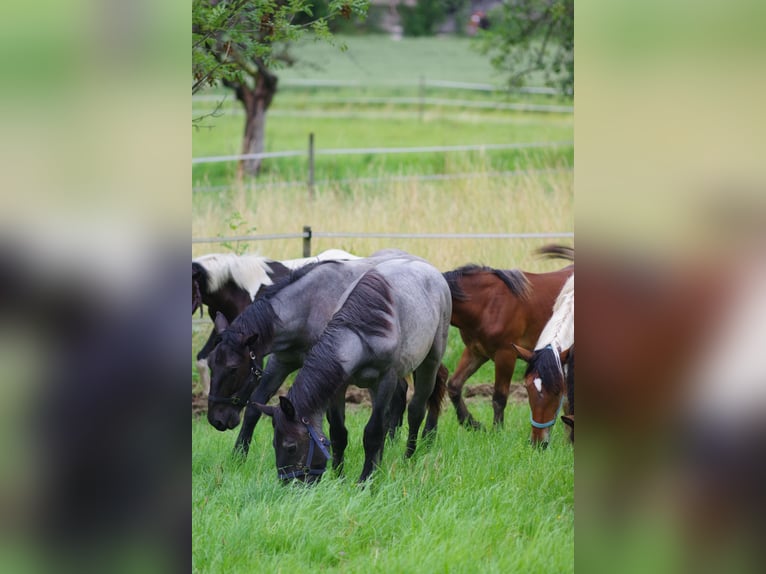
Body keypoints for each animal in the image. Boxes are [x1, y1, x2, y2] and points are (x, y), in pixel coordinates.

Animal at [207, 254, 416, 462]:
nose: (216, 420)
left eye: (233, 368)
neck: (308, 308)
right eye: (210, 364)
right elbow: (254, 407)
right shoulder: (281, 362)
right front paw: (238, 456)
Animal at [255, 255, 452, 482]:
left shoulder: (385, 381)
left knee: (416, 410)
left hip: (430, 362)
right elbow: (338, 432)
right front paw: (339, 477)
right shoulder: (339, 387)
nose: (290, 483)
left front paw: (365, 480)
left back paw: (408, 458)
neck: (360, 335)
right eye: (274, 444)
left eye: (291, 447)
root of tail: (432, 270)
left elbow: (373, 433)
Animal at [440, 249, 572, 432]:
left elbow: (499, 396)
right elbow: (454, 385)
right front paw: (472, 423)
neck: (487, 303)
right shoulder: (476, 352)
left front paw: (497, 431)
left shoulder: (506, 354)